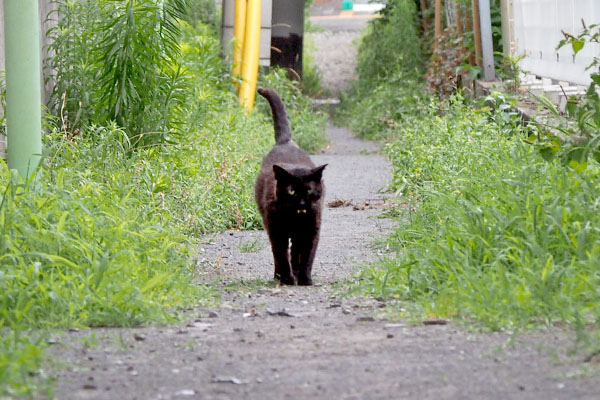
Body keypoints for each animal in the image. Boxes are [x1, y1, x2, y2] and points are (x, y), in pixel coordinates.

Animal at [254, 89, 328, 286]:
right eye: (292, 191)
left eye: (309, 190)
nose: (302, 203)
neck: (296, 218)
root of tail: (285, 142)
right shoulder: (277, 231)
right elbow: (280, 254)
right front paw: (287, 278)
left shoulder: (312, 230)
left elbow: (307, 256)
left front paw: (305, 279)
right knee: (281, 254)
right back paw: (280, 275)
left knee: (295, 252)